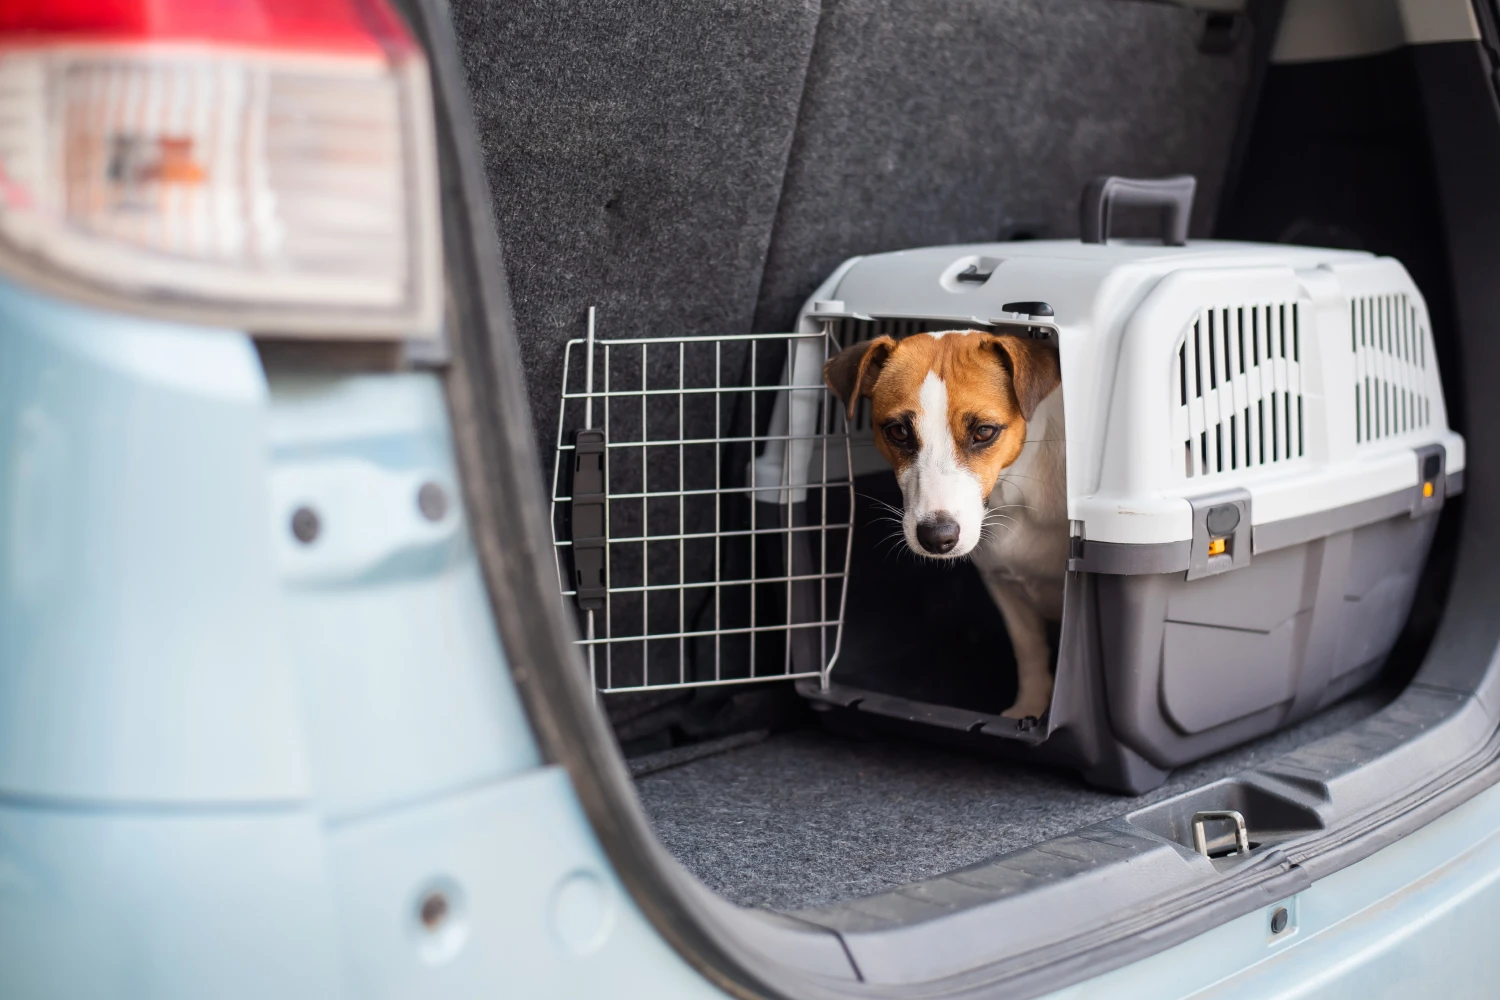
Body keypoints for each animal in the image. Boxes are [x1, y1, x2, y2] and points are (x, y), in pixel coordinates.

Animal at [822, 334, 1068, 719]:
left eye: (984, 431)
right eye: (898, 432)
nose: (937, 538)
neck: (1015, 495)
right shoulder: (1004, 588)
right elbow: (1029, 651)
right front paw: (1028, 709)